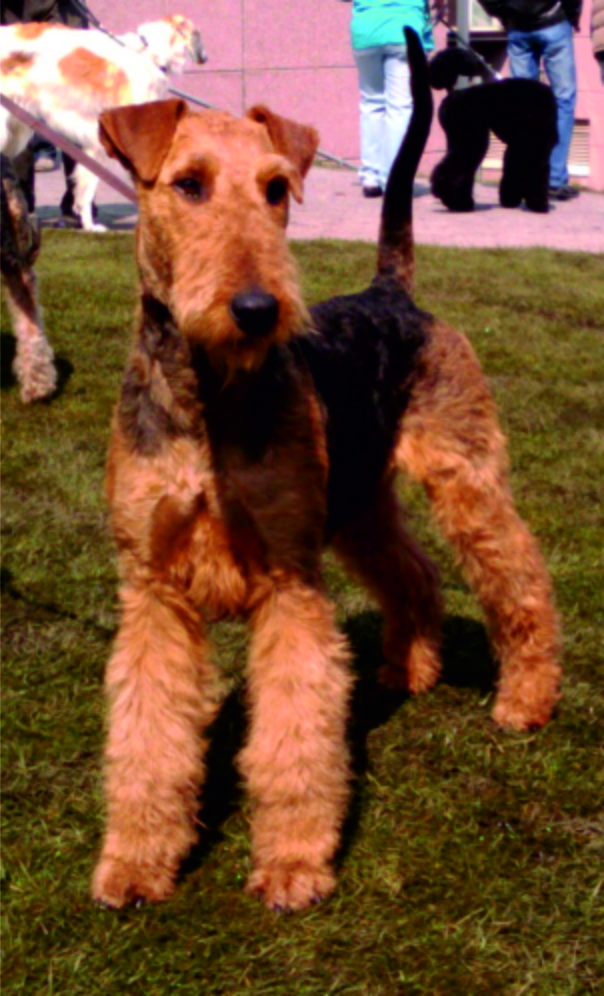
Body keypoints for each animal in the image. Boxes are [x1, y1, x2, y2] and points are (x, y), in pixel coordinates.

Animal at [0, 14, 206, 232]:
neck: (147, 54)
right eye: (198, 35)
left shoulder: (96, 146)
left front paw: (88, 224)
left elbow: (86, 189)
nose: (205, 58)